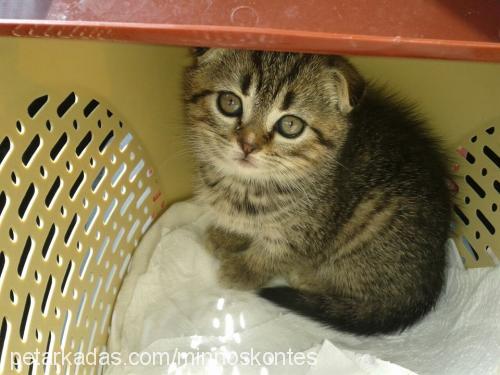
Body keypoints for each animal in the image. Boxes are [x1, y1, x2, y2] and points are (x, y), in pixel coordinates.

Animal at [182, 48, 452, 336]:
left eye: (290, 125)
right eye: (230, 102)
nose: (248, 145)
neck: (245, 185)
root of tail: (431, 282)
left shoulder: (306, 234)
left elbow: (273, 255)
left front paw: (242, 271)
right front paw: (227, 236)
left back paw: (307, 279)